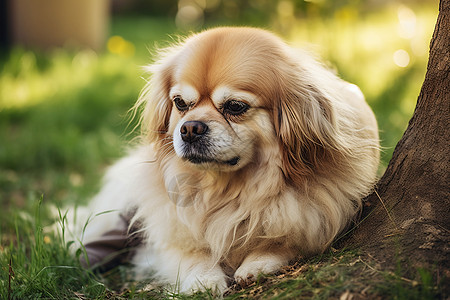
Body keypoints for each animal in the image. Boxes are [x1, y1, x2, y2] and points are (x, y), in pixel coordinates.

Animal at [67, 27, 380, 294]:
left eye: (235, 107)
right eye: (180, 103)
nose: (190, 128)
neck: (228, 189)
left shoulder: (314, 219)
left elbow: (284, 239)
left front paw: (257, 263)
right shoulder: (171, 236)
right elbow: (194, 255)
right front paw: (203, 280)